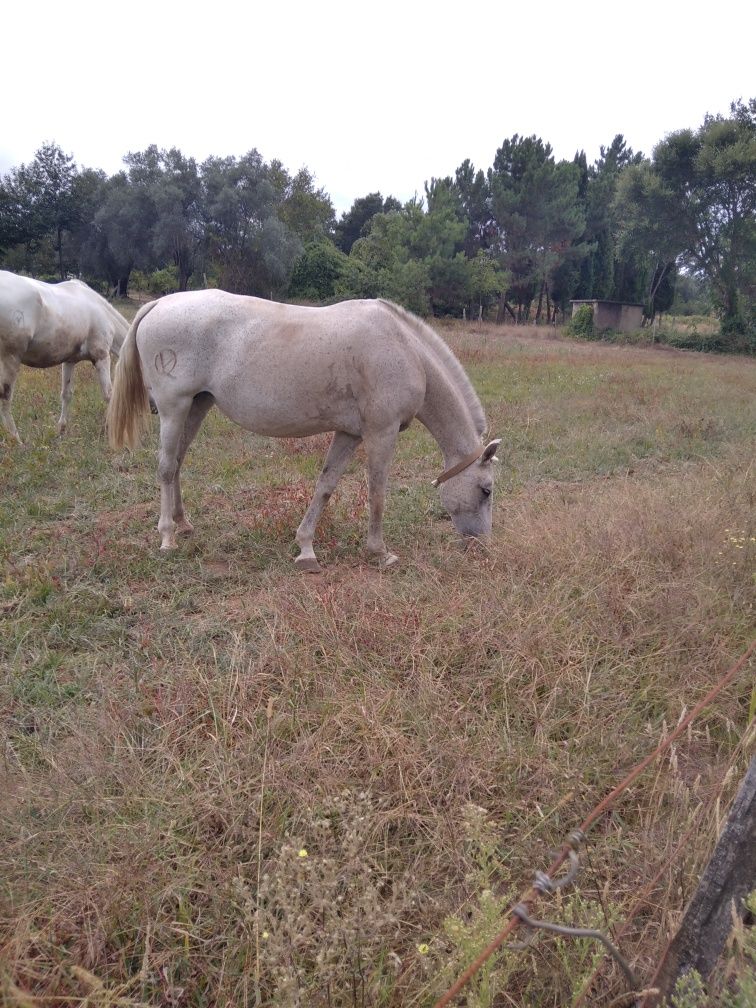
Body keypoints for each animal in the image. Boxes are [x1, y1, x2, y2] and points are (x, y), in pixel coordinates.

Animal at [0, 270, 130, 443]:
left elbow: (66, 394)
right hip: (10, 358)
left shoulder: (69, 361)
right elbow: (109, 395)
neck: (102, 312)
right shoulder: (101, 356)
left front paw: (61, 432)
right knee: (5, 398)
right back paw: (16, 440)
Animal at [105, 290, 497, 568]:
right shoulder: (380, 433)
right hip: (174, 408)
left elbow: (326, 485)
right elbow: (377, 492)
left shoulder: (350, 434)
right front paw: (380, 552)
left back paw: (184, 524)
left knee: (177, 465)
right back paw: (167, 537)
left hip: (196, 406)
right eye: (486, 490)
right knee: (165, 467)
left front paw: (306, 547)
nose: (480, 543)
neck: (405, 349)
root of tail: (160, 303)